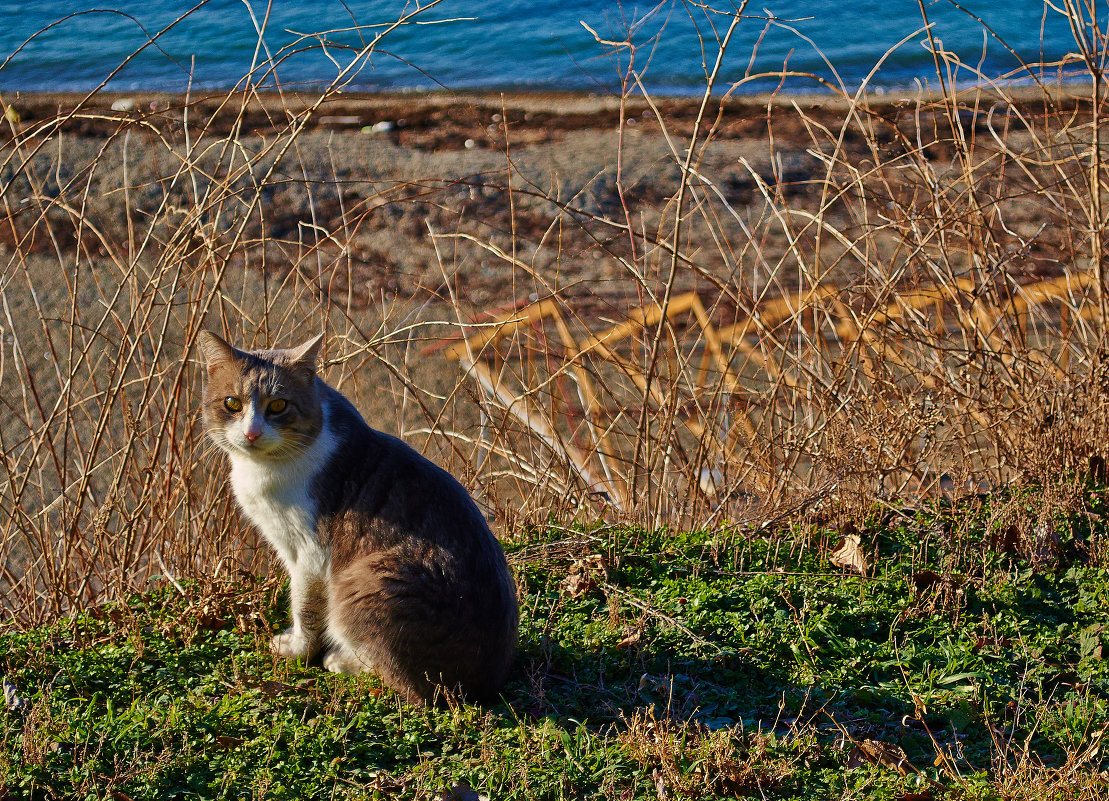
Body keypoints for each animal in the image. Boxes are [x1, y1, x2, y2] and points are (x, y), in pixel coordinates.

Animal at [198, 328, 519, 701]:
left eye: (278, 405)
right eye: (231, 404)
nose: (252, 433)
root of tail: (484, 685)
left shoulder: (311, 552)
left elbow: (305, 607)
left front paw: (297, 650)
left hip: (367, 580)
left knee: (406, 683)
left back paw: (341, 659)